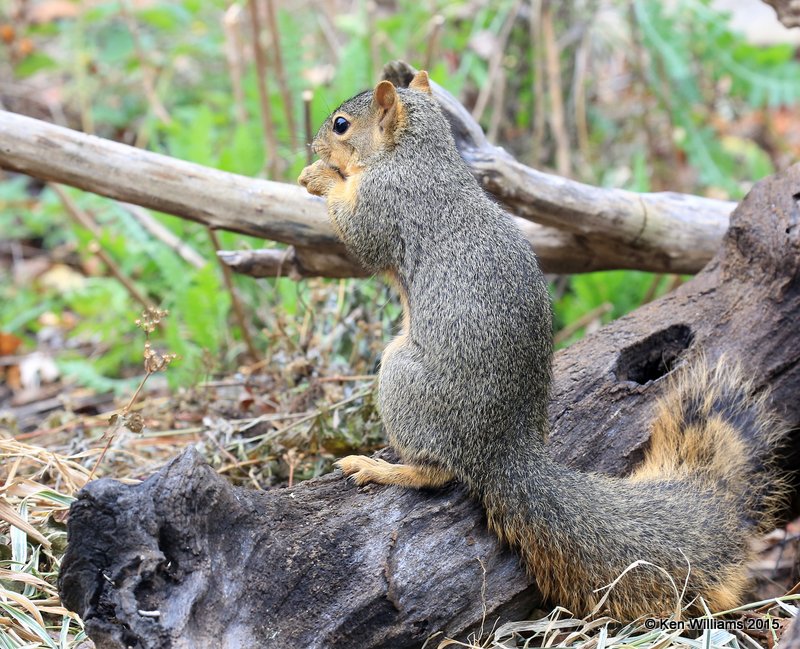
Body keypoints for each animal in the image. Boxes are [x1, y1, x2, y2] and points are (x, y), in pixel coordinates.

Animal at [296, 68, 788, 620]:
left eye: (341, 124)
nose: (313, 143)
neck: (417, 152)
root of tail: (505, 451)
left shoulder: (388, 201)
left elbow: (358, 235)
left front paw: (320, 177)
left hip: (402, 378)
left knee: (437, 472)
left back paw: (381, 468)